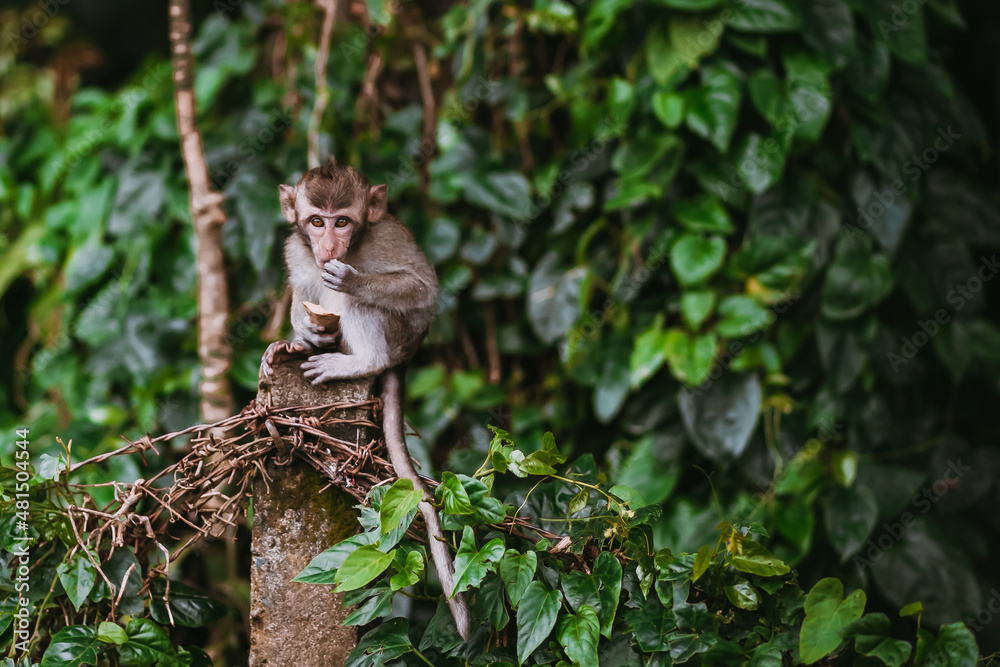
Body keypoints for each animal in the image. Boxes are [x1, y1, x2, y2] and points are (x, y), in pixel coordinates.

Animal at [261, 159, 471, 640]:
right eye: (316, 221)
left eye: (343, 222)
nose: (329, 246)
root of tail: (407, 356)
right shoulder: (296, 249)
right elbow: (301, 284)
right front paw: (302, 331)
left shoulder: (384, 240)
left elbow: (422, 289)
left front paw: (353, 278)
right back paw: (301, 344)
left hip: (398, 338)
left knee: (362, 308)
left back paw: (358, 359)